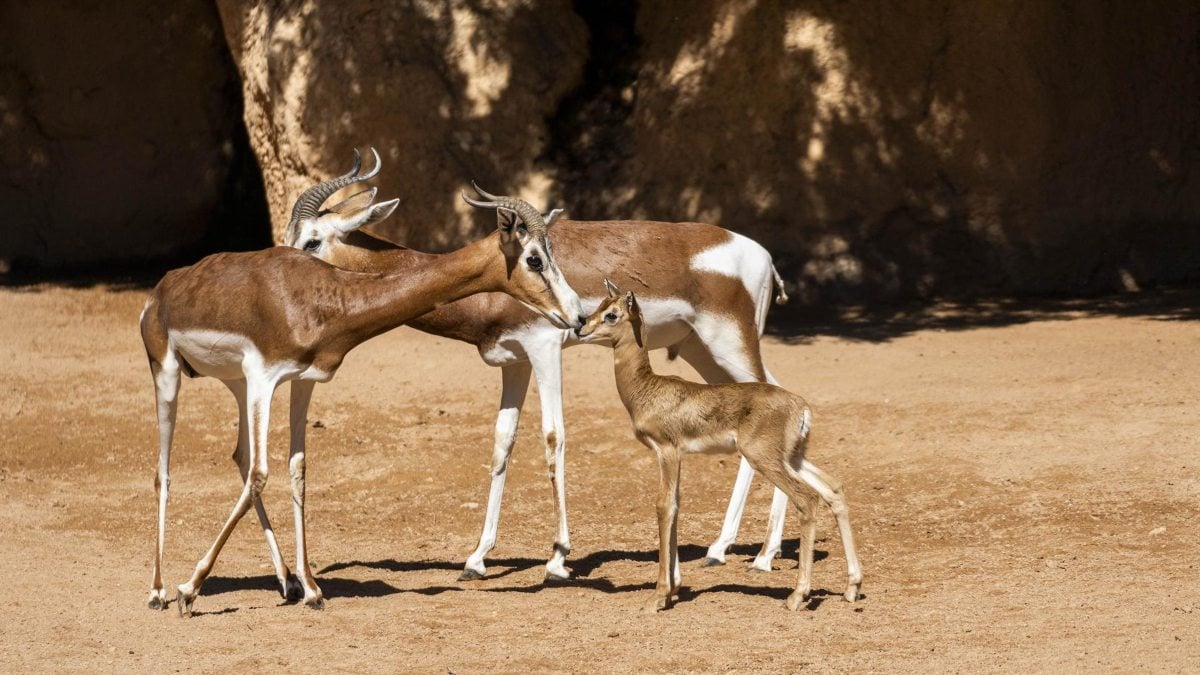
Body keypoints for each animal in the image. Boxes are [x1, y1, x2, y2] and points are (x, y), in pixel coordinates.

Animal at [139, 158, 580, 614]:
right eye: (534, 259)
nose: (577, 314)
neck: (324, 296)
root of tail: (163, 288)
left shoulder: (300, 381)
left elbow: (296, 470)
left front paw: (311, 587)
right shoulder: (264, 376)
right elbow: (263, 473)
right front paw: (189, 589)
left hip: (236, 386)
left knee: (241, 457)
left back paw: (286, 581)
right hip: (168, 373)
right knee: (165, 472)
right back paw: (158, 590)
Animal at [573, 278, 864, 610]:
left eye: (612, 314)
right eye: (598, 306)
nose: (580, 328)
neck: (646, 388)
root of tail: (801, 406)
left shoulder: (667, 451)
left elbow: (664, 506)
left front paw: (659, 596)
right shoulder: (679, 455)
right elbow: (676, 505)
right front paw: (673, 588)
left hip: (764, 458)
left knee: (807, 498)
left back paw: (797, 595)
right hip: (794, 457)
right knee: (833, 489)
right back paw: (852, 587)